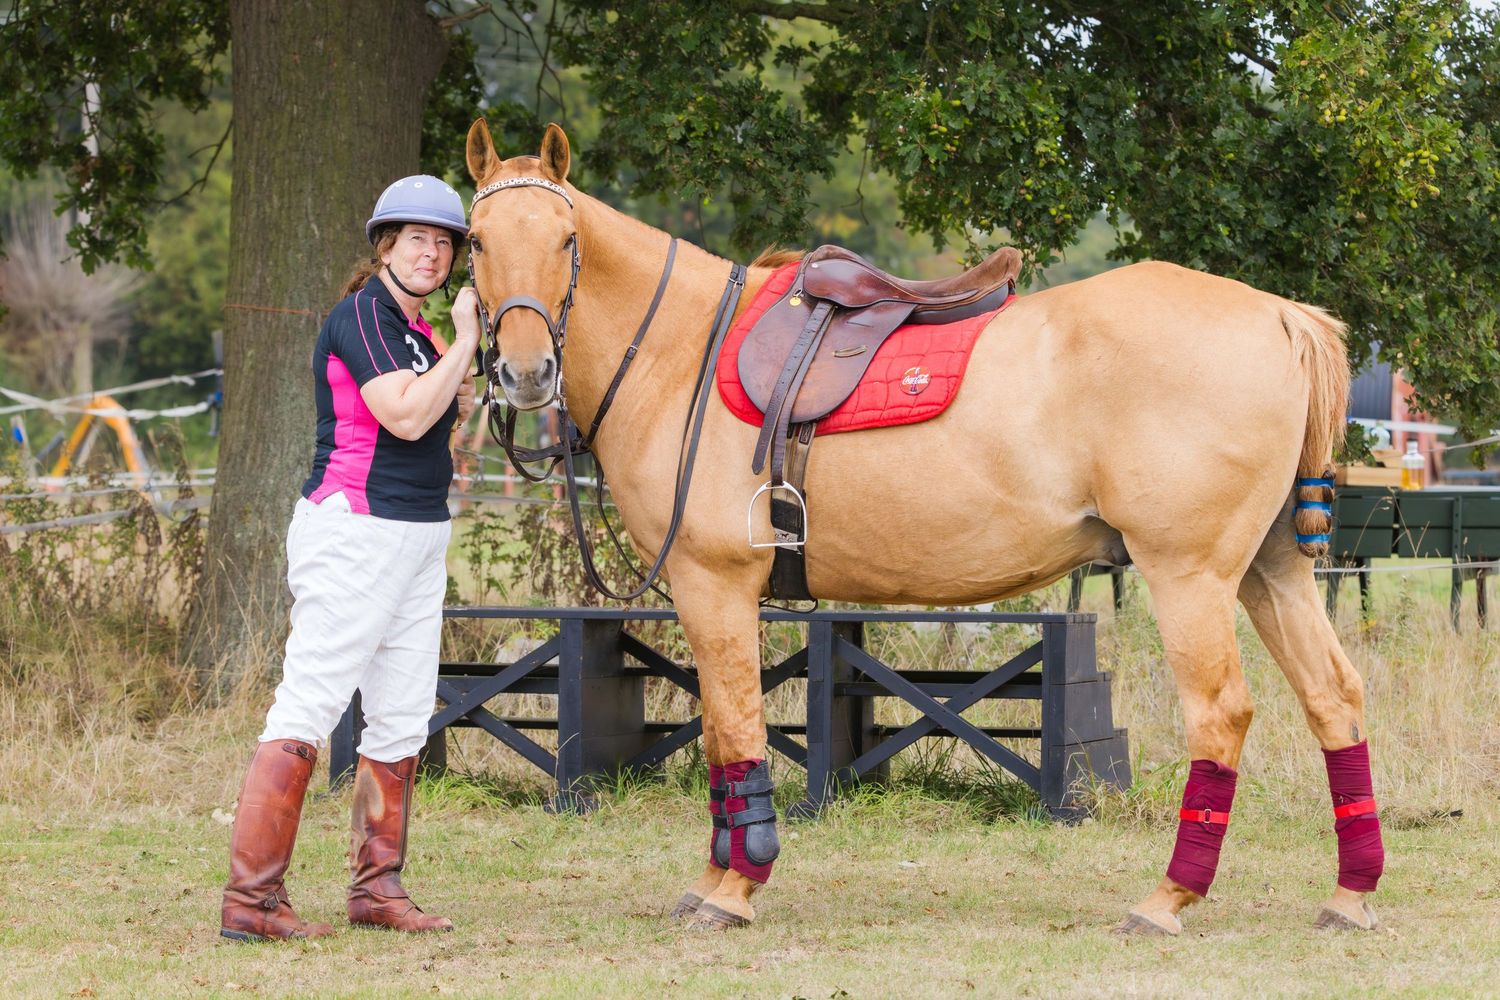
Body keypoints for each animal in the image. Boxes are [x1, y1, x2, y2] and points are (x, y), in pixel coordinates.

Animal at [461, 119, 1384, 935]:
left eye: (565, 238)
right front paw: (719, 877)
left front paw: (736, 885)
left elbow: (735, 727)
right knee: (1333, 696)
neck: (681, 352)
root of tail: (1282, 316)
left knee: (1221, 715)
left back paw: (1169, 899)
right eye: (476, 240)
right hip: (1271, 572)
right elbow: (727, 732)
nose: (526, 371)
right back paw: (1351, 893)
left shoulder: (712, 584)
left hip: (1189, 576)